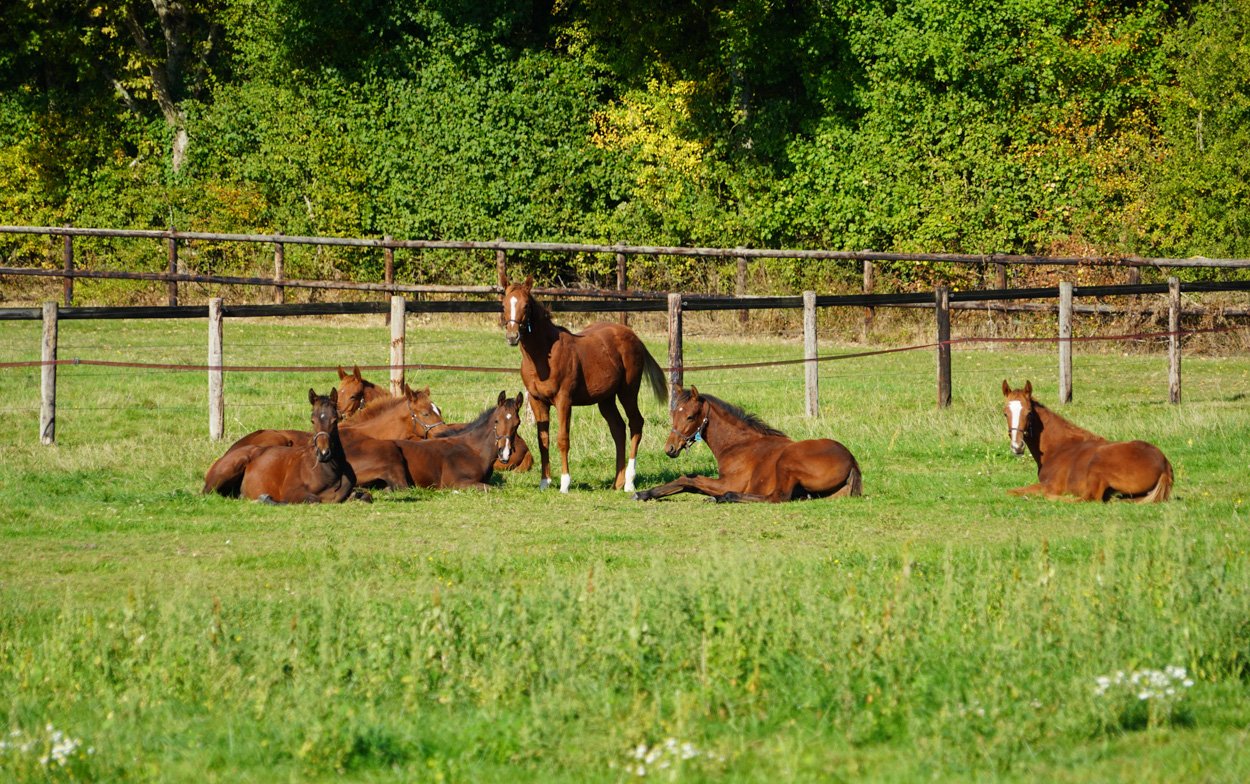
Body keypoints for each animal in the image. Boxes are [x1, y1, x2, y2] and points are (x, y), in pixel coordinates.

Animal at [203, 388, 364, 504]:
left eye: (335, 420)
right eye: (312, 420)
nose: (324, 453)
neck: (330, 472)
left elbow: (363, 495)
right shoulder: (291, 491)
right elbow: (313, 499)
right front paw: (265, 498)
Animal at [500, 271, 666, 492]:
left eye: (526, 305)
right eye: (503, 305)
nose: (512, 336)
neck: (543, 357)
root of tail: (633, 336)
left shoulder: (564, 400)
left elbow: (563, 439)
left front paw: (564, 484)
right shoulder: (537, 400)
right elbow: (543, 440)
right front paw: (544, 483)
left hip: (628, 391)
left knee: (636, 423)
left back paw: (629, 482)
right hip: (606, 399)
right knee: (618, 429)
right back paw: (617, 482)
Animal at [632, 385, 862, 503]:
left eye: (690, 417)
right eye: (673, 415)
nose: (670, 449)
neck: (737, 445)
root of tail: (851, 460)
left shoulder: (729, 482)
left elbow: (689, 479)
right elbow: (689, 482)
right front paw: (645, 493)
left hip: (787, 462)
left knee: (776, 497)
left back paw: (725, 497)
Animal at [1001, 380, 1173, 502]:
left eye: (1029, 413)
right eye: (1005, 413)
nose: (1017, 446)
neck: (1058, 448)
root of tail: (1164, 465)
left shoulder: (1050, 485)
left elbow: (1011, 491)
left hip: (1098, 465)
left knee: (1089, 498)